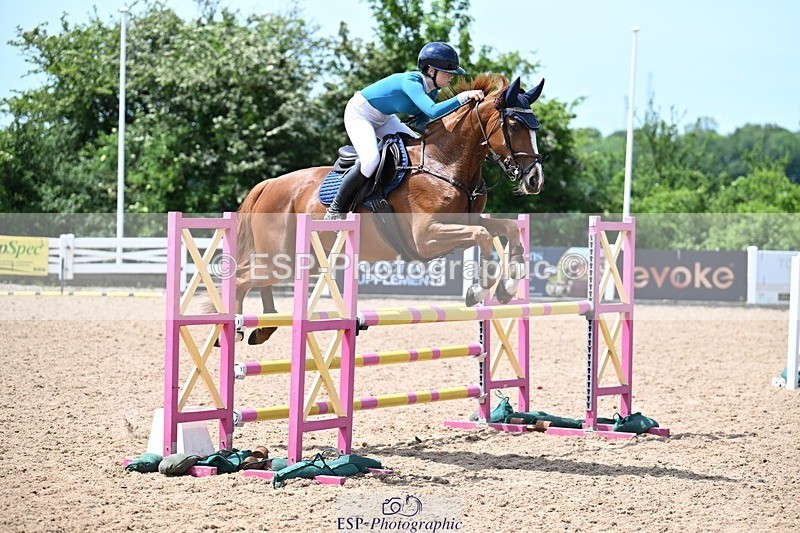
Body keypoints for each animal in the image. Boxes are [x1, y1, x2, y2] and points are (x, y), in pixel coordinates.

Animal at [233, 73, 546, 345]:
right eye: (514, 125)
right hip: (280, 257)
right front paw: (478, 289)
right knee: (241, 279)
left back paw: (265, 327)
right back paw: (237, 329)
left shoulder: (464, 221)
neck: (444, 163)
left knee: (255, 280)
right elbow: (482, 235)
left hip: (303, 260)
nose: (535, 180)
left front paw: (507, 288)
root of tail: (269, 185)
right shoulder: (426, 238)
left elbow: (506, 228)